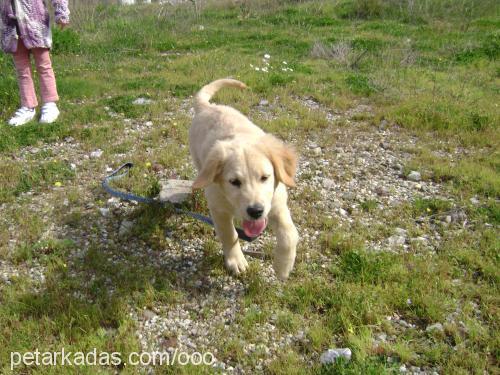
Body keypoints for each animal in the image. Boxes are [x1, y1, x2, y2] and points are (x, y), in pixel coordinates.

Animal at [190, 78, 298, 280]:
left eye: (265, 177)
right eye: (234, 182)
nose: (255, 211)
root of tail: (208, 107)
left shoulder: (277, 203)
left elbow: (289, 234)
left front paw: (283, 267)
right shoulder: (219, 209)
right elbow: (229, 235)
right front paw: (236, 261)